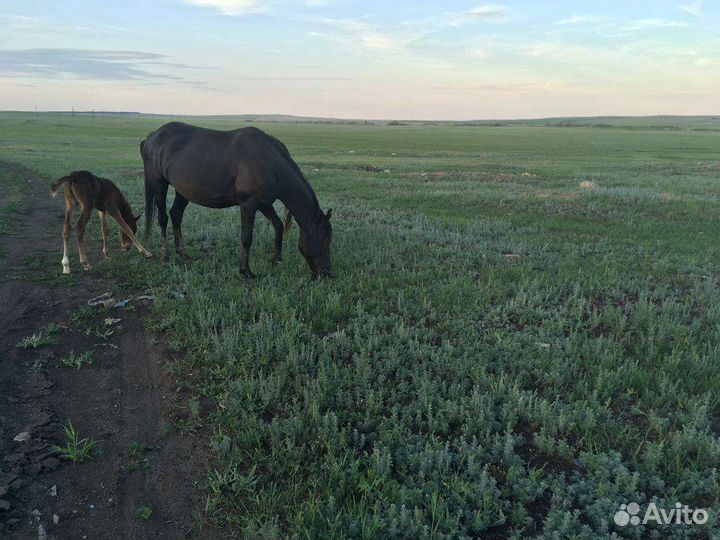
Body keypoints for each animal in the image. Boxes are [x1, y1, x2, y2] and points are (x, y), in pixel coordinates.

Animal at [140, 122, 332, 278]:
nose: (326, 273)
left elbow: (278, 226)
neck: (270, 162)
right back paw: (166, 255)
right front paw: (246, 271)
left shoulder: (263, 204)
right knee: (162, 218)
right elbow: (246, 237)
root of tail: (152, 137)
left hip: (183, 189)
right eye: (325, 239)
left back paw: (182, 254)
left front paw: (275, 260)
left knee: (176, 214)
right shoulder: (248, 204)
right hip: (159, 183)